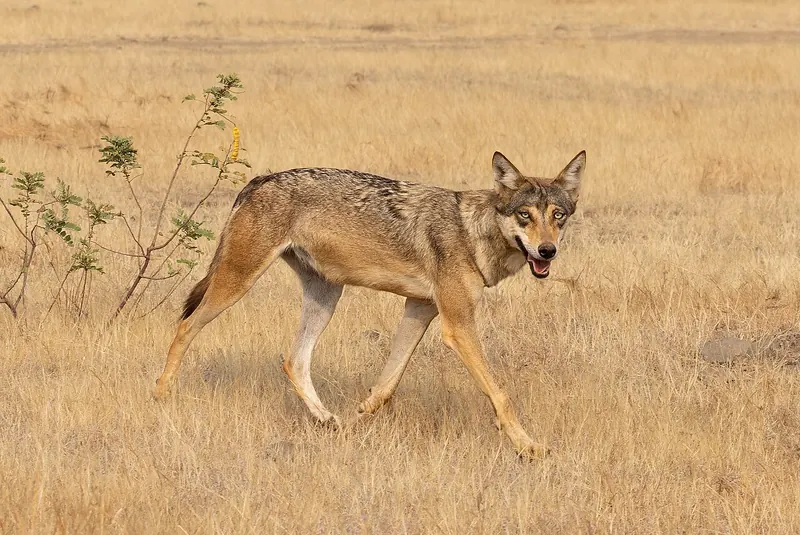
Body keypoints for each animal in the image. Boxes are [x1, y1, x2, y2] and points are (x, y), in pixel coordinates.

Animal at [154, 150, 586, 459]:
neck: (472, 232)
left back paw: (328, 420)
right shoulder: (457, 324)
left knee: (294, 361)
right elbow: (501, 395)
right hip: (238, 282)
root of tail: (259, 179)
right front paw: (528, 446)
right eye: (525, 215)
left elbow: (386, 385)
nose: (547, 251)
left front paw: (358, 419)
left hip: (326, 297)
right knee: (185, 327)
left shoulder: (420, 308)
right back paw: (162, 395)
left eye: (559, 216)